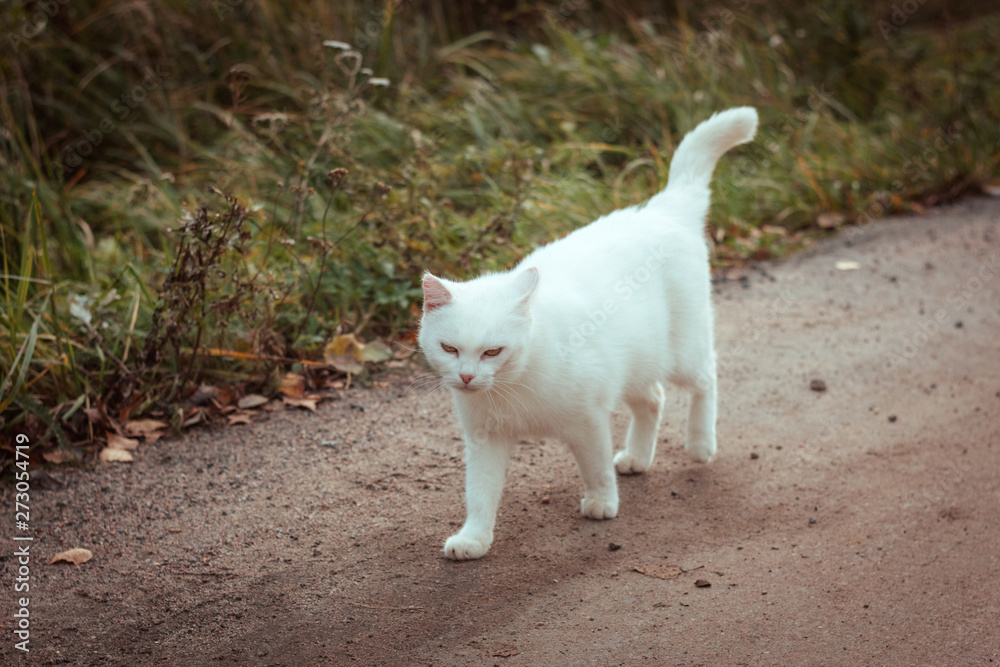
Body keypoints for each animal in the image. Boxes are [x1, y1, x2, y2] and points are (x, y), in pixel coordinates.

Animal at [416, 108, 756, 560]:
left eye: (493, 352)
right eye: (449, 348)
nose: (467, 377)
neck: (514, 385)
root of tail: (660, 209)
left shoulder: (588, 420)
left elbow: (594, 467)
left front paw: (601, 503)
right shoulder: (485, 441)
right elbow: (480, 494)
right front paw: (473, 538)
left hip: (683, 350)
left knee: (706, 379)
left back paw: (701, 444)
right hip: (636, 363)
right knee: (654, 399)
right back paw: (637, 457)